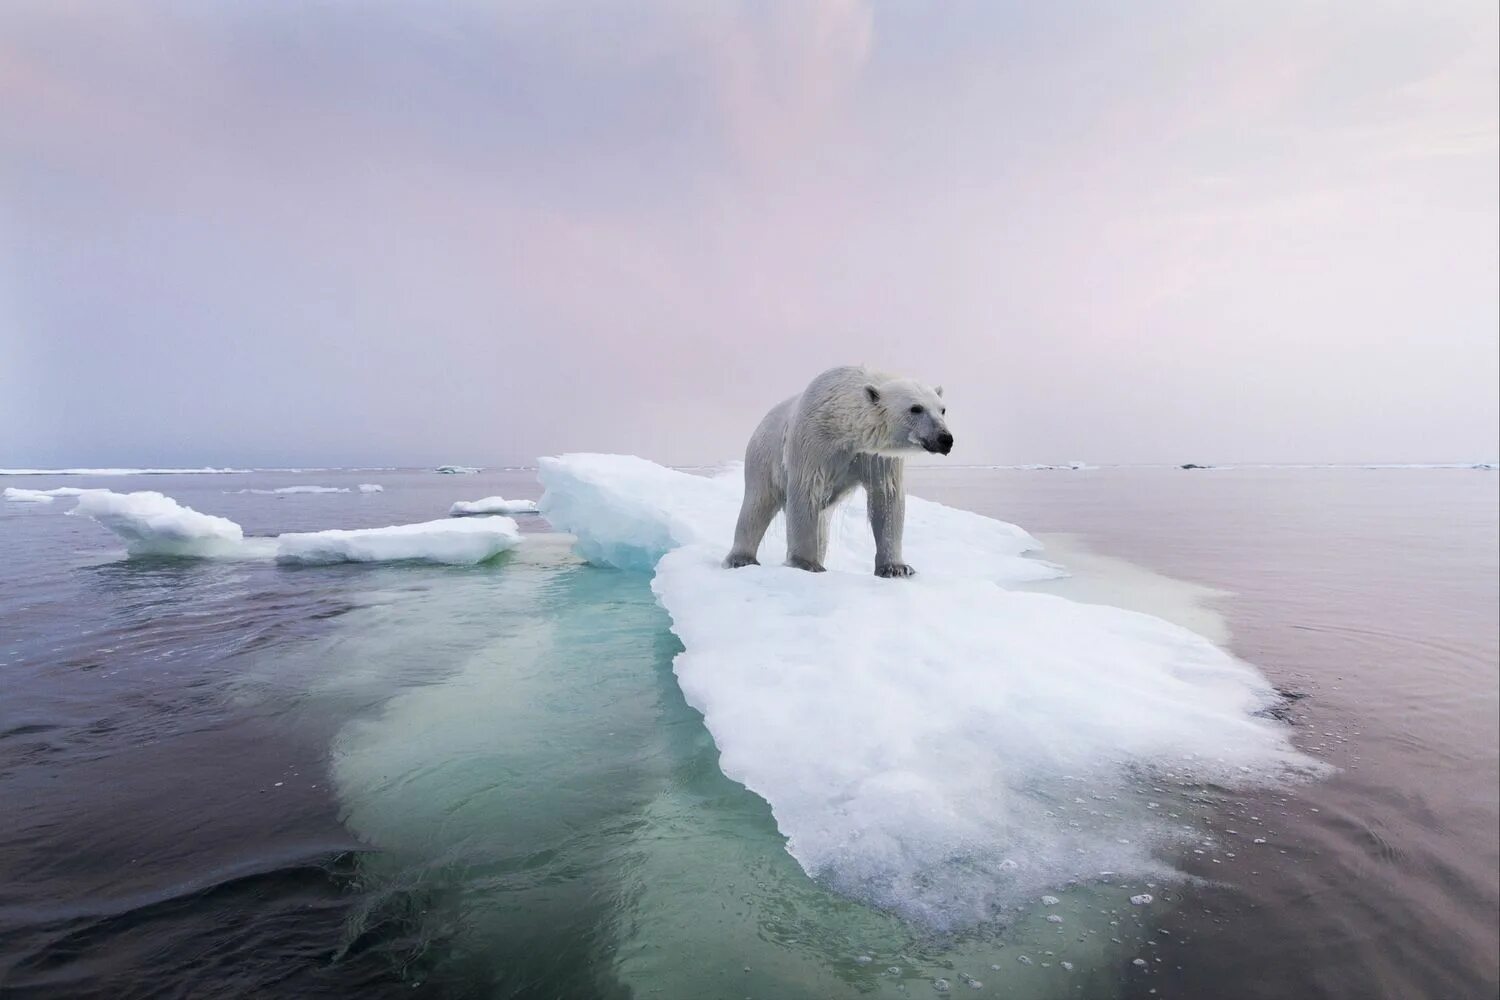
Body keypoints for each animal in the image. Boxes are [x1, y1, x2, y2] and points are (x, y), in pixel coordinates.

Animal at [723, 367, 948, 575]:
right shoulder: (812, 442)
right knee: (757, 504)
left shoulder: (876, 456)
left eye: (942, 409)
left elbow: (886, 497)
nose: (945, 438)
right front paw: (806, 563)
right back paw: (741, 558)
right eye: (916, 408)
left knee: (821, 524)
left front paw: (896, 568)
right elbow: (806, 490)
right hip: (764, 457)